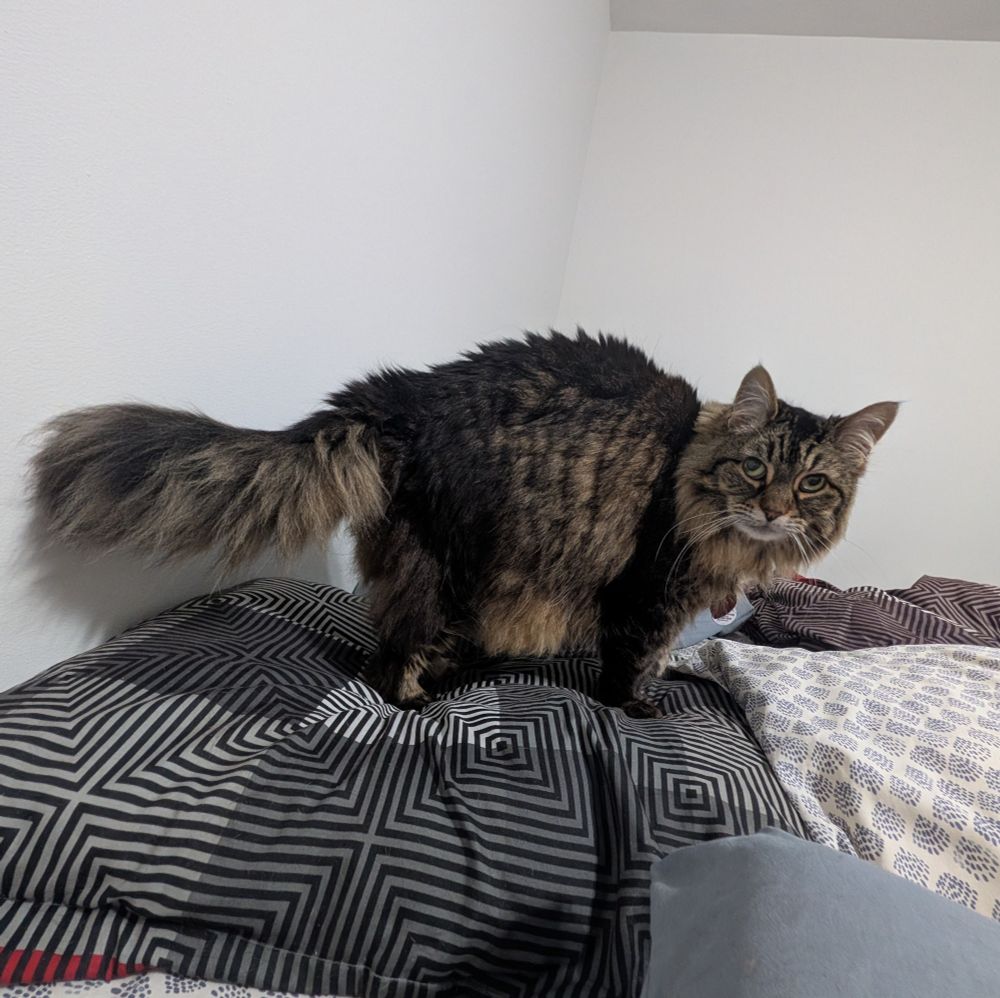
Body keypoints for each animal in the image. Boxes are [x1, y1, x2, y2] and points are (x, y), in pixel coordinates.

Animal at [31, 330, 897, 717]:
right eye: (754, 468)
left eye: (813, 483)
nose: (774, 508)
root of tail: (402, 393)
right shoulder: (645, 590)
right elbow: (631, 662)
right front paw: (636, 707)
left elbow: (660, 657)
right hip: (454, 561)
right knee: (394, 660)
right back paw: (426, 702)